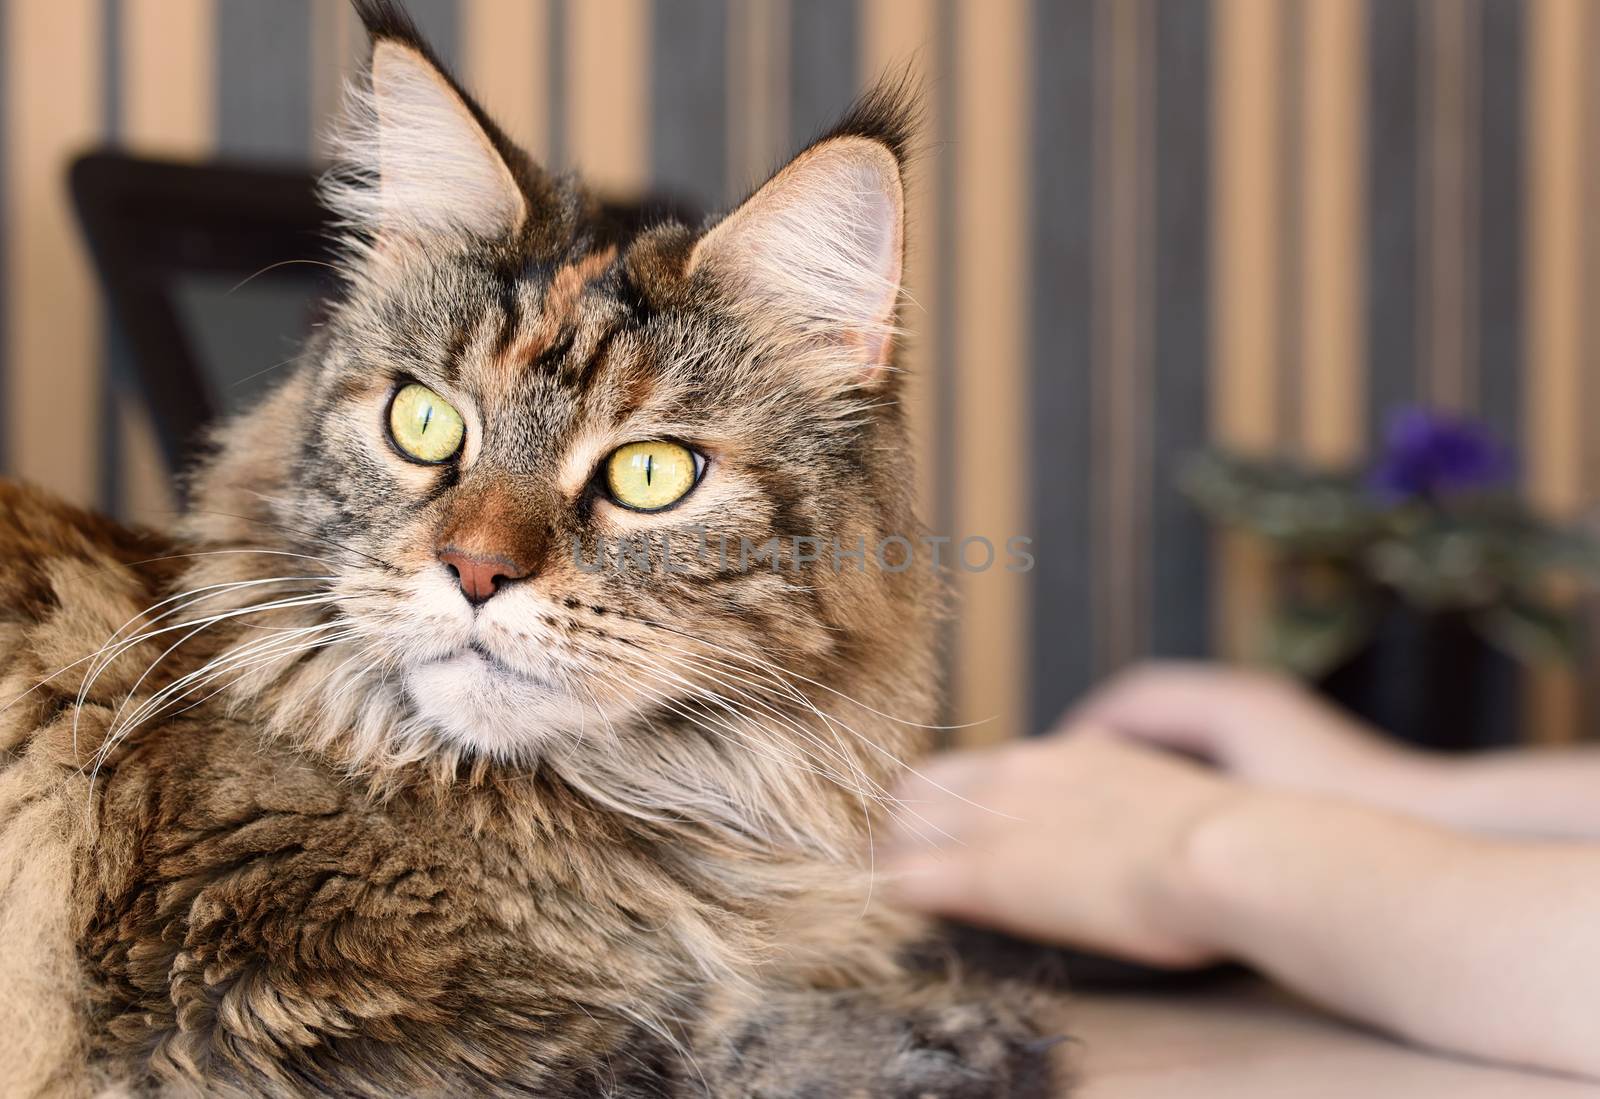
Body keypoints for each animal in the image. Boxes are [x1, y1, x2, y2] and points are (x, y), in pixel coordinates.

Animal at [3, 4, 1075, 1094]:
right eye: (423, 421)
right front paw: (961, 1022)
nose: (475, 569)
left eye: (650, 473)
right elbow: (684, 1032)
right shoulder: (245, 1011)